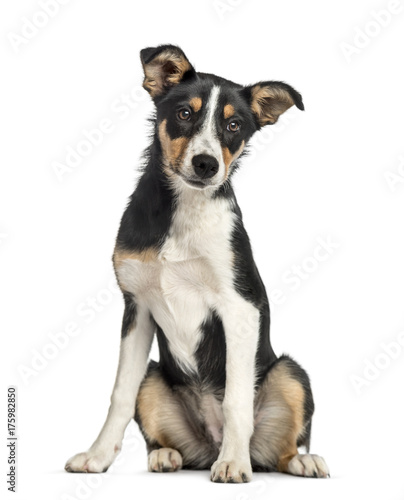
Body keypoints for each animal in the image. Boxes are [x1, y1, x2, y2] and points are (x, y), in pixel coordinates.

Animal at [65, 45, 328, 482]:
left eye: (234, 125)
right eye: (185, 114)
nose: (206, 164)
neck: (184, 210)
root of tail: (208, 445)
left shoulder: (239, 306)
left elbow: (237, 399)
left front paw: (233, 463)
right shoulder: (136, 306)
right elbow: (120, 395)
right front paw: (97, 457)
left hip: (290, 373)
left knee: (282, 449)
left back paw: (292, 460)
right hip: (154, 374)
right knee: (169, 439)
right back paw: (165, 456)